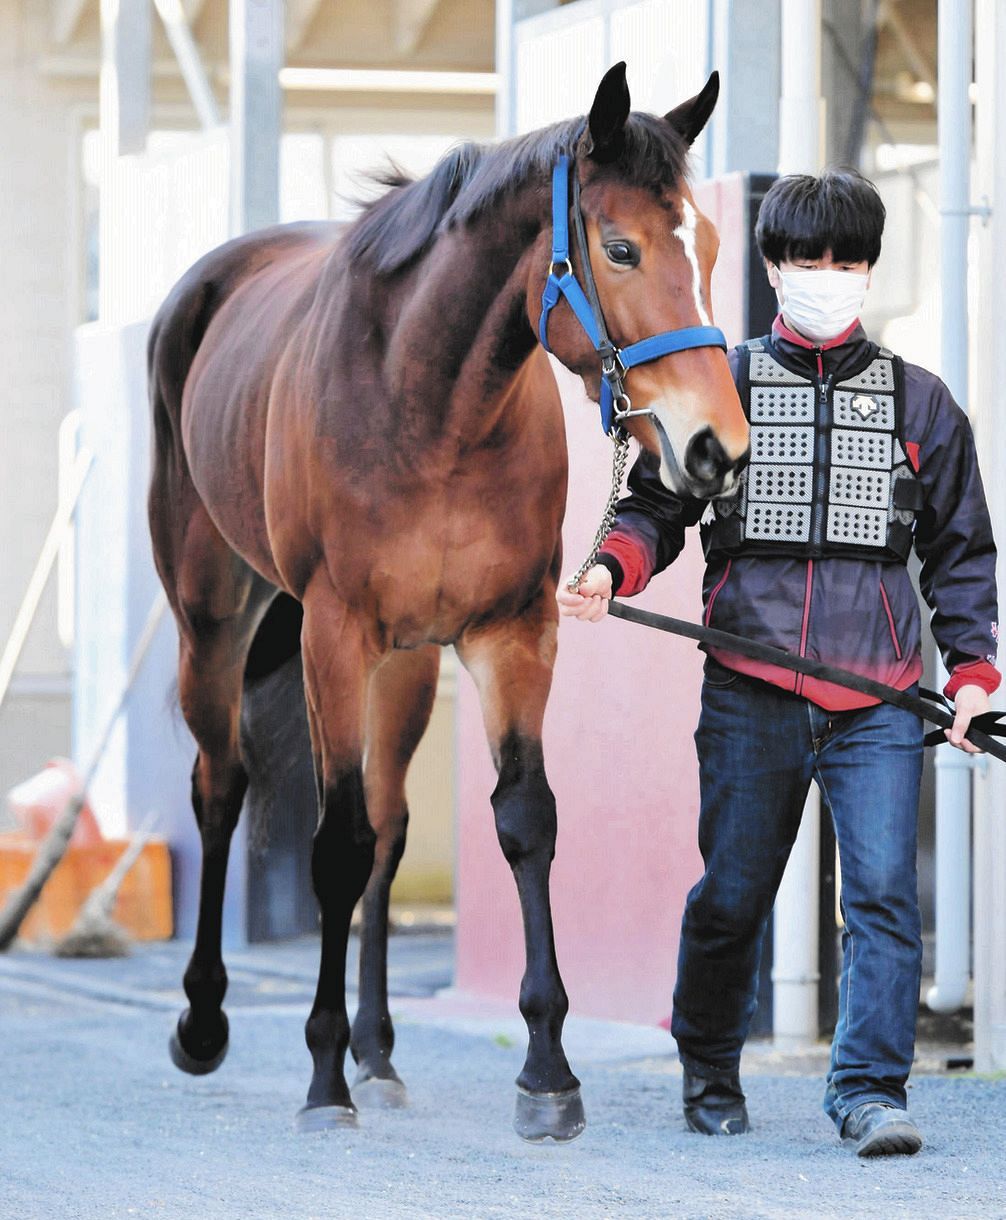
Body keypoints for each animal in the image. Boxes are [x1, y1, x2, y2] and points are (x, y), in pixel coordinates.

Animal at [147, 61, 749, 1144]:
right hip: (212, 620)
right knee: (222, 789)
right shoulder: (334, 637)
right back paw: (207, 1021)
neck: (426, 402)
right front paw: (322, 1078)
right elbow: (334, 844)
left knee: (389, 826)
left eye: (713, 245)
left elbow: (522, 821)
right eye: (622, 246)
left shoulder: (511, 634)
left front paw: (547, 1072)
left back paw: (380, 1049)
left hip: (409, 662)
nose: (718, 448)